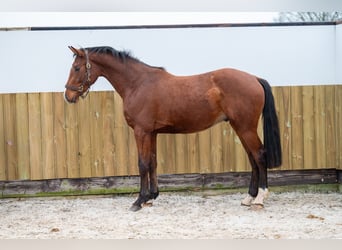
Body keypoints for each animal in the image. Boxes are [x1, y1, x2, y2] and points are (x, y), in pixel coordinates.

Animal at [63, 45, 280, 211]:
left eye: (76, 68)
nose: (68, 96)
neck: (138, 83)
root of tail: (254, 78)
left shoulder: (141, 131)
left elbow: (142, 164)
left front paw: (139, 201)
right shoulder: (151, 133)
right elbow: (152, 162)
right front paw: (151, 196)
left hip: (246, 128)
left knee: (260, 155)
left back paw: (260, 198)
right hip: (239, 127)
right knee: (252, 158)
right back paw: (249, 197)